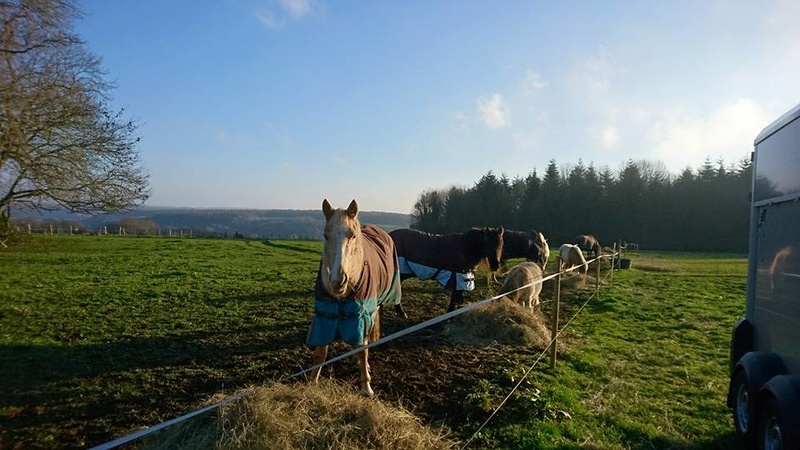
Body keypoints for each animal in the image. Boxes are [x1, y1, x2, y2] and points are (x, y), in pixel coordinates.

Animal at [308, 199, 404, 396]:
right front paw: (312, 384)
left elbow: (362, 350)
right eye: (325, 235)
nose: (338, 280)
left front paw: (366, 388)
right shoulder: (325, 315)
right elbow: (320, 353)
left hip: (374, 307)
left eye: (352, 235)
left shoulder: (360, 314)